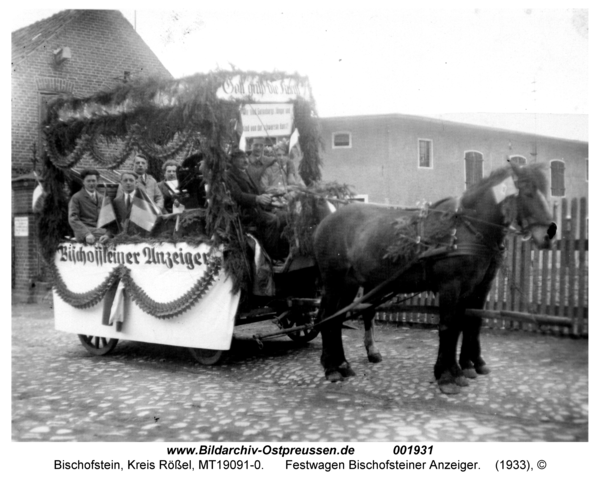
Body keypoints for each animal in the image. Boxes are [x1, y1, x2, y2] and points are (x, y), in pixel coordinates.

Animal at [314, 161, 556, 394]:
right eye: (527, 191)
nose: (550, 234)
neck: (464, 229)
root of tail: (326, 220)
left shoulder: (474, 287)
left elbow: (465, 325)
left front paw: (460, 369)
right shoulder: (451, 286)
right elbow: (448, 327)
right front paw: (447, 376)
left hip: (350, 284)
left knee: (337, 318)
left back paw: (342, 365)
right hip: (334, 281)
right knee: (328, 317)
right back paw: (332, 368)